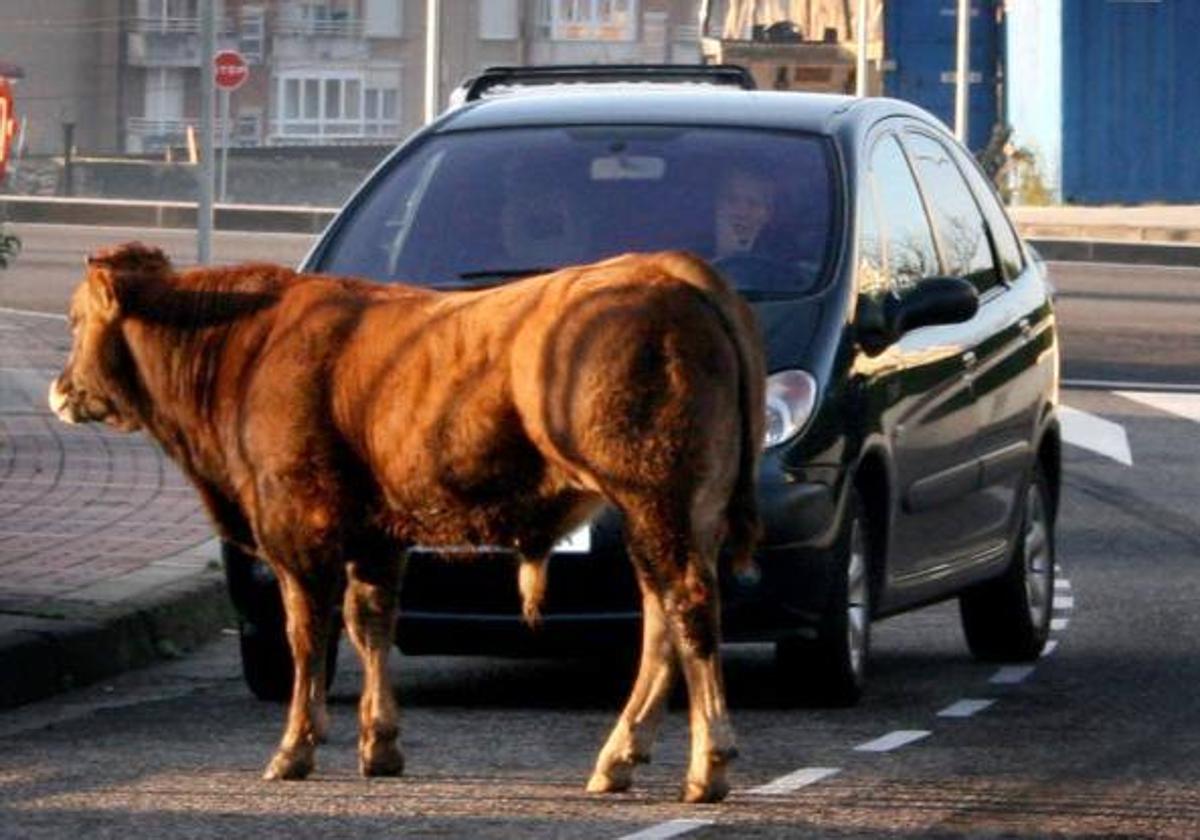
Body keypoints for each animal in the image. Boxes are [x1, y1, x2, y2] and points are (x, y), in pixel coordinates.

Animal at [51, 241, 763, 801]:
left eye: (76, 319)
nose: (59, 391)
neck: (246, 348)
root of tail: (664, 268)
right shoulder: (375, 536)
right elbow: (370, 625)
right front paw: (380, 743)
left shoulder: (296, 528)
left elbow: (307, 635)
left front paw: (295, 748)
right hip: (682, 512)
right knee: (661, 620)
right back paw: (619, 758)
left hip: (654, 498)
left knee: (687, 608)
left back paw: (708, 764)